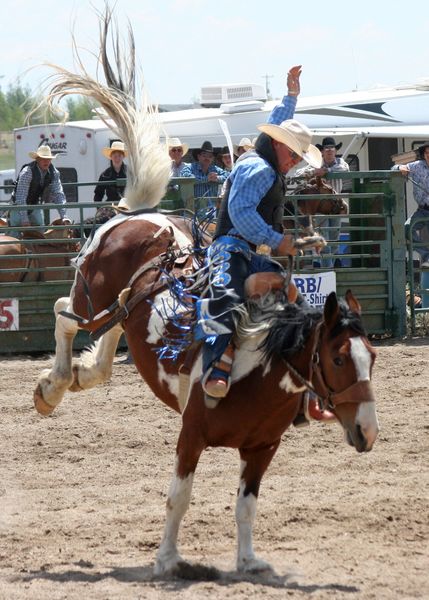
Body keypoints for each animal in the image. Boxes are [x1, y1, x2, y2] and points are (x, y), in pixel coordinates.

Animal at [32, 5, 378, 576]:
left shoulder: (262, 449)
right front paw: (168, 560)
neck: (259, 367)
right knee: (64, 313)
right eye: (336, 359)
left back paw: (80, 374)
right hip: (91, 295)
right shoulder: (191, 434)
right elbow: (180, 498)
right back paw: (54, 384)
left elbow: (246, 506)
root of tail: (135, 214)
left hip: (125, 304)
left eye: (372, 357)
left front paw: (250, 561)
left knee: (107, 340)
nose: (368, 433)